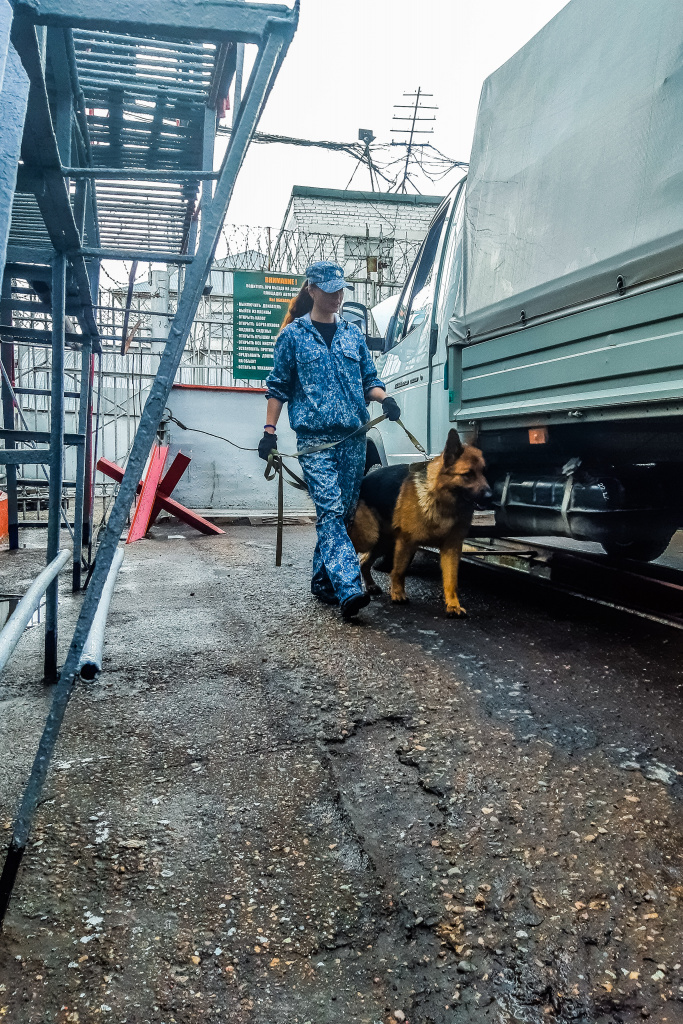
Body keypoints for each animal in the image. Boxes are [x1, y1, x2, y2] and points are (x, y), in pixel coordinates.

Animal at [350, 430, 489, 614]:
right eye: (468, 474)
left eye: (484, 472)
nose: (490, 496)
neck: (440, 500)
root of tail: (361, 482)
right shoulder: (406, 542)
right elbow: (398, 571)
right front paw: (398, 594)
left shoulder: (451, 549)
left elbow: (451, 580)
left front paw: (453, 605)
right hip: (370, 536)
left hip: (384, 541)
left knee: (364, 562)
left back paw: (371, 585)